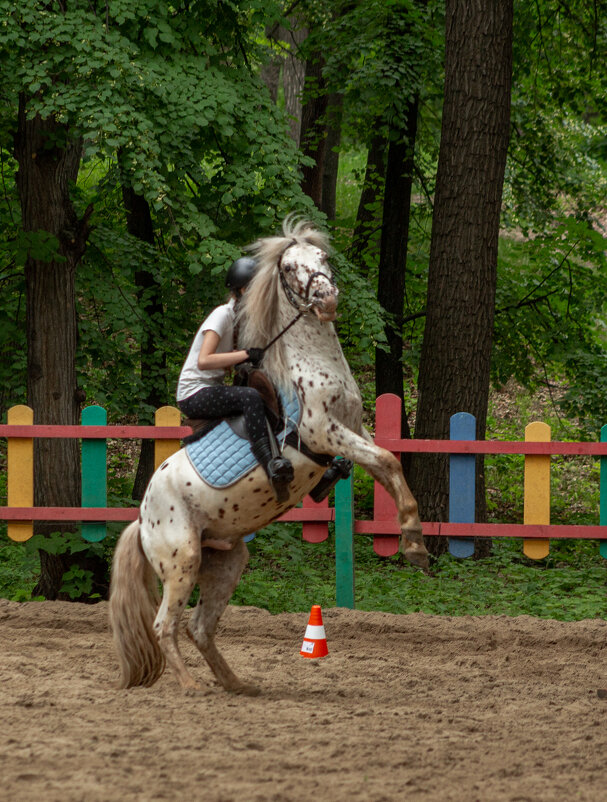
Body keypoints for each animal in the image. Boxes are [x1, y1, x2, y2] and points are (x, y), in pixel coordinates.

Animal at [111, 216, 430, 692]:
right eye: (290, 268)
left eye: (323, 258)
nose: (327, 299)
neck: (314, 364)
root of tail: (141, 517)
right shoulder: (325, 432)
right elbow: (388, 461)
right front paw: (413, 540)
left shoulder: (354, 429)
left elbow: (383, 463)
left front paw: (412, 540)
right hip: (181, 562)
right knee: (165, 626)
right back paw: (190, 687)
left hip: (225, 561)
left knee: (200, 627)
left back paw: (237, 685)